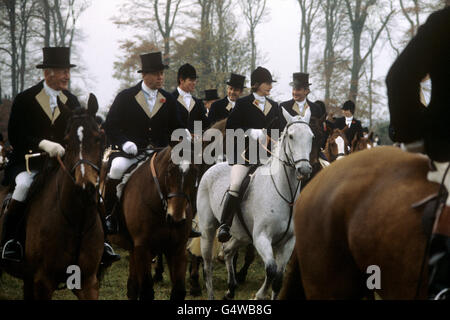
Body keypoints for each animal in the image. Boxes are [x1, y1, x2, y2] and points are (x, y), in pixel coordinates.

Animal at [0, 94, 105, 298]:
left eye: (98, 139)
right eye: (66, 141)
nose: (85, 188)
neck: (78, 220)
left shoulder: (88, 282)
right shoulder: (43, 281)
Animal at [109, 142, 197, 300]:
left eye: (194, 171)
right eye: (170, 171)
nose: (176, 219)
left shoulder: (177, 248)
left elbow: (178, 290)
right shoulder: (143, 248)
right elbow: (146, 292)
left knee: (132, 287)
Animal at [197, 110, 312, 300]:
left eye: (311, 136)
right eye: (291, 136)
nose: (304, 169)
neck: (283, 193)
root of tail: (213, 168)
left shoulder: (288, 242)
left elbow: (278, 279)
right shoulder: (261, 237)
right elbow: (271, 270)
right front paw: (259, 294)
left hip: (241, 234)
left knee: (228, 251)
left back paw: (230, 289)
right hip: (208, 229)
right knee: (207, 267)